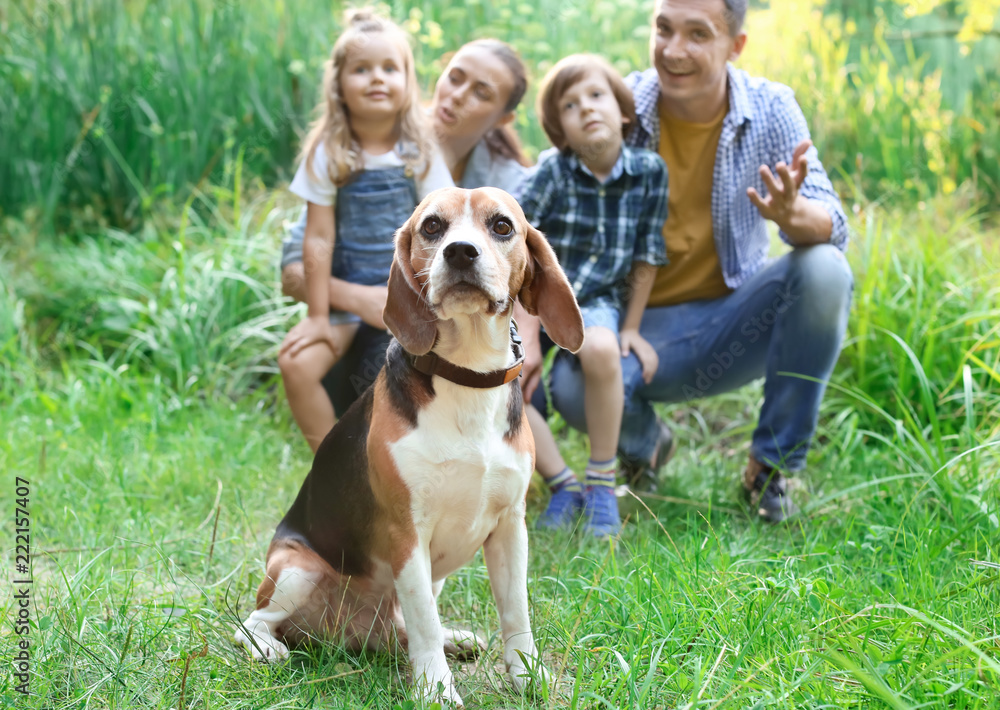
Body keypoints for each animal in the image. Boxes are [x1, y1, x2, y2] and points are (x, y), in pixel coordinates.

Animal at [236, 188, 584, 708]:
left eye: (502, 226)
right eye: (432, 227)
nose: (460, 252)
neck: (467, 376)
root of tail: (348, 633)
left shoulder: (510, 527)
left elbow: (515, 613)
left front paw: (527, 676)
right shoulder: (406, 533)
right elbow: (424, 620)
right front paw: (436, 689)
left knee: (408, 628)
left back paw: (452, 639)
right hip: (295, 571)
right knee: (253, 620)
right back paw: (267, 646)